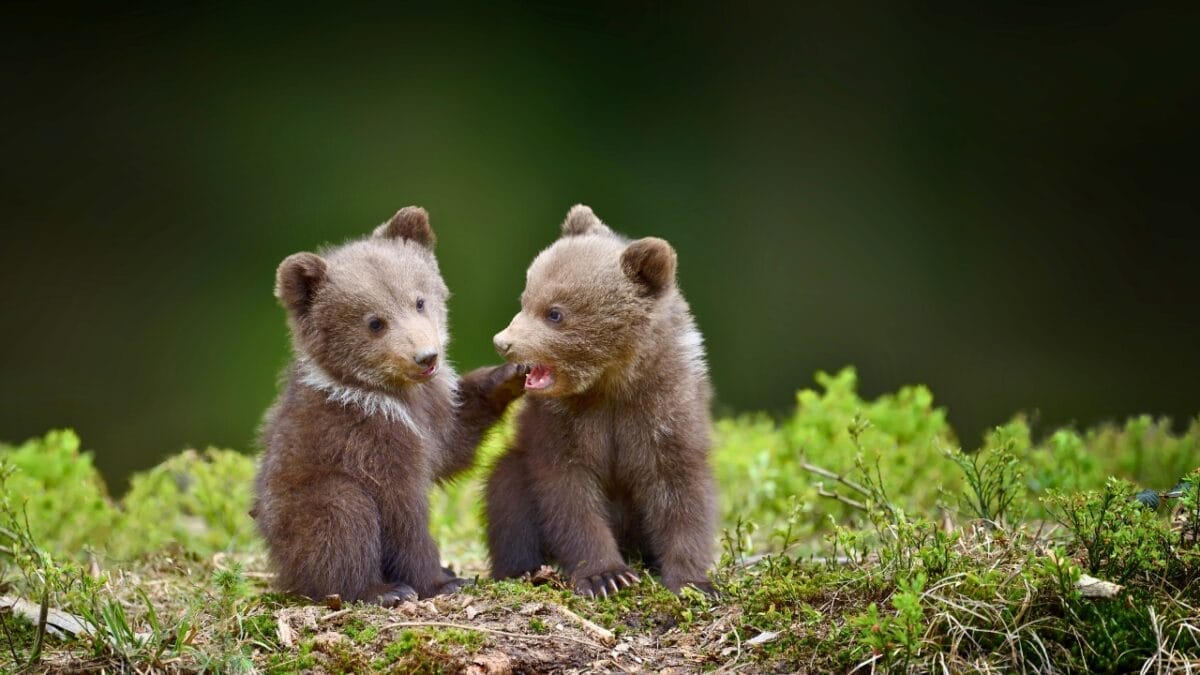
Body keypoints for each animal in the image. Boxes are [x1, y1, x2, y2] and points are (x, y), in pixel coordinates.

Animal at [254, 206, 526, 605]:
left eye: (418, 301)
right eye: (375, 322)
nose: (426, 357)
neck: (394, 396)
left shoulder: (433, 414)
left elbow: (453, 445)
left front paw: (509, 375)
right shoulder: (368, 439)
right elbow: (402, 513)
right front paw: (440, 581)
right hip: (304, 503)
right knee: (343, 516)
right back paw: (381, 589)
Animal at [485, 204, 717, 598]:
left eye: (555, 312)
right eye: (525, 299)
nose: (503, 342)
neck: (610, 384)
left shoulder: (664, 409)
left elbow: (680, 490)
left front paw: (693, 581)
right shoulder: (563, 422)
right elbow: (569, 493)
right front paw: (605, 575)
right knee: (506, 493)